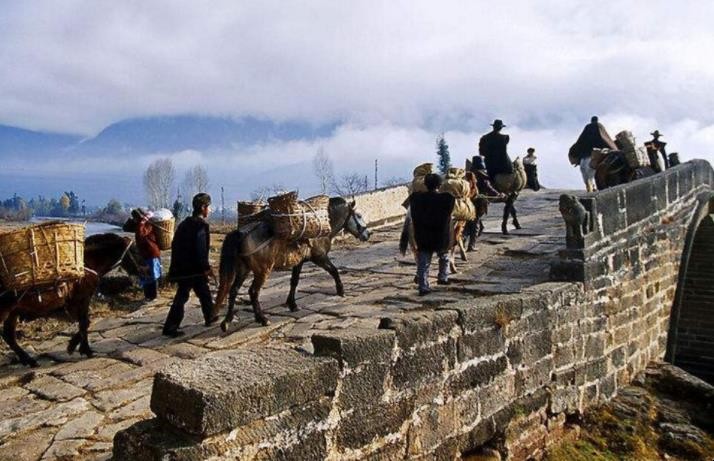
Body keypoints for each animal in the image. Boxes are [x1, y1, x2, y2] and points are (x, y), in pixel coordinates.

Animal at [0, 234, 142, 366]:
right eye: (134, 251)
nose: (141, 271)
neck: (87, 263)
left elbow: (85, 323)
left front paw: (74, 346)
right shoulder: (82, 299)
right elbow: (84, 323)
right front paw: (83, 349)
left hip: (13, 313)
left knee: (8, 336)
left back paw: (28, 360)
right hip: (5, 311)